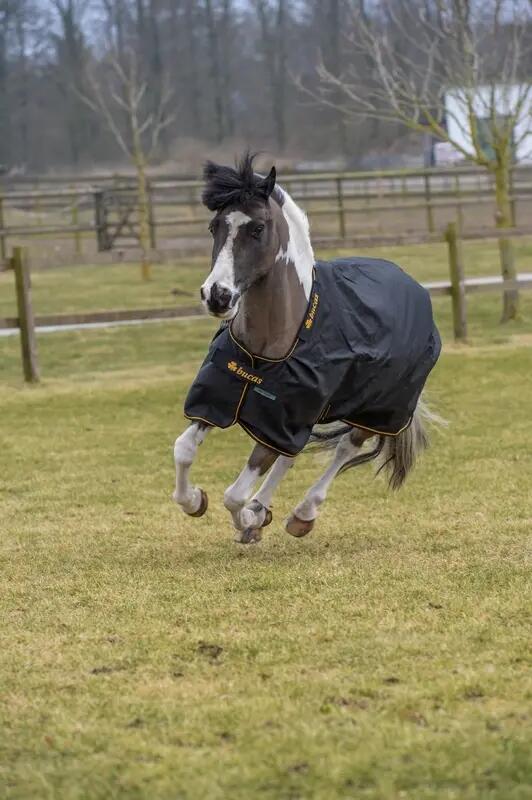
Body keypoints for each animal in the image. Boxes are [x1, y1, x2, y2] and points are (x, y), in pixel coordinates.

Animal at [172, 154, 442, 544]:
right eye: (214, 226)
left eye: (258, 228)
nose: (217, 296)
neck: (265, 353)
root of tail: (413, 286)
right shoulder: (220, 405)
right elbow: (184, 450)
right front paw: (196, 501)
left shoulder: (278, 424)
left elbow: (234, 495)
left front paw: (248, 521)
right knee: (292, 455)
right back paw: (263, 509)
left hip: (378, 410)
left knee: (345, 448)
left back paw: (301, 514)